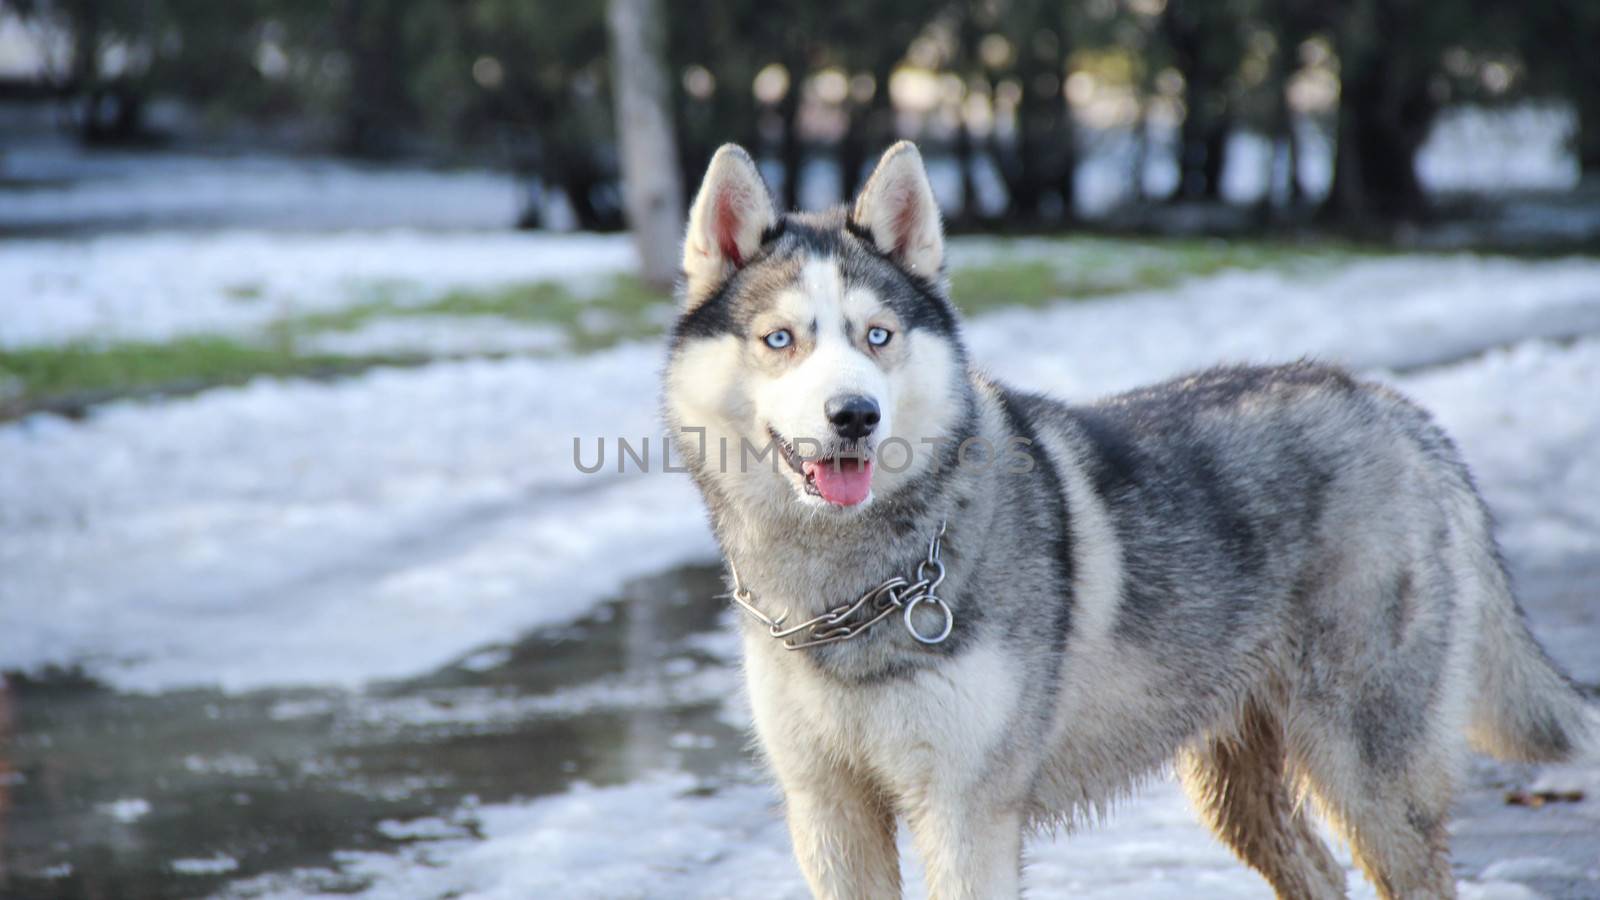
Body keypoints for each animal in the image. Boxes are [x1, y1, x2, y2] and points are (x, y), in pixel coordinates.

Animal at [659, 141, 1587, 896]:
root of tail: (1396, 408)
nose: (855, 415)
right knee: (1319, 874)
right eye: (781, 340)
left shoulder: (966, 815)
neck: (850, 587)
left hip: (1370, 780)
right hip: (1234, 791)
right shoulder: (829, 813)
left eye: (877, 336)